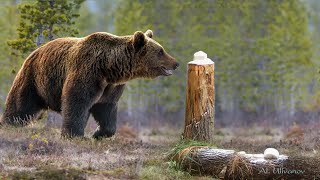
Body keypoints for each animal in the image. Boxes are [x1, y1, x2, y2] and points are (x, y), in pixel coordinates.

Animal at [0, 30, 179, 139]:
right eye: (161, 51)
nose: (176, 63)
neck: (110, 68)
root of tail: (35, 51)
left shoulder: (110, 87)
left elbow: (107, 109)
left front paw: (98, 133)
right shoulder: (88, 72)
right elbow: (77, 101)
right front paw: (75, 135)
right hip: (34, 78)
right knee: (21, 102)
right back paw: (9, 123)